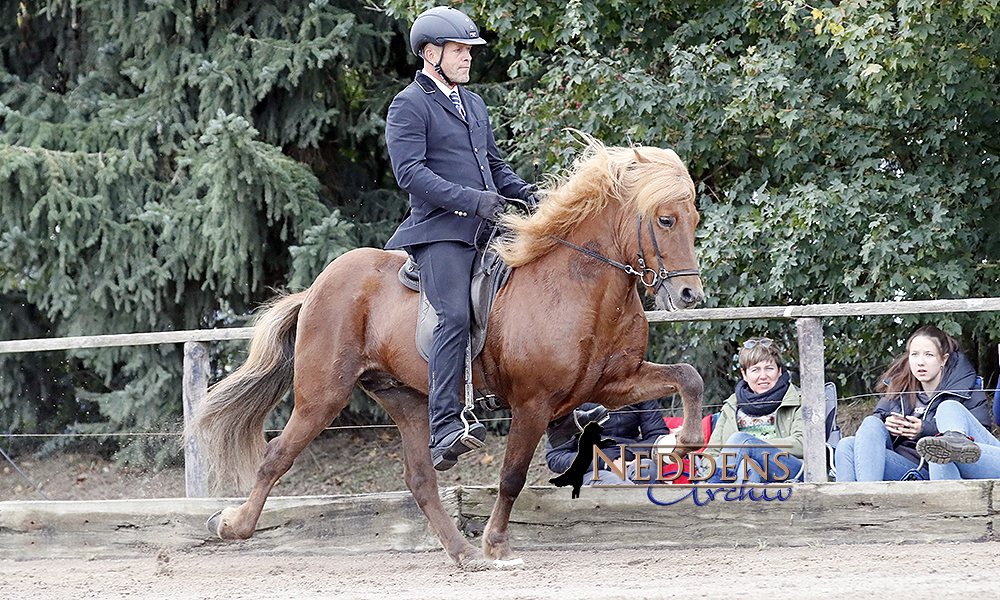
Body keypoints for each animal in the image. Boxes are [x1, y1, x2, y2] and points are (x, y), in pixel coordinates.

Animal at [191, 138, 708, 568]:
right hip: (322, 395)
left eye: (694, 220)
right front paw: (498, 545)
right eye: (665, 219)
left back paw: (462, 553)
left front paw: (680, 445)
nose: (689, 296)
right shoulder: (532, 403)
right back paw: (231, 525)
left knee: (420, 480)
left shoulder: (611, 381)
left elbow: (688, 375)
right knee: (276, 455)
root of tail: (317, 287)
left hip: (406, 399)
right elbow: (512, 476)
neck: (581, 287)